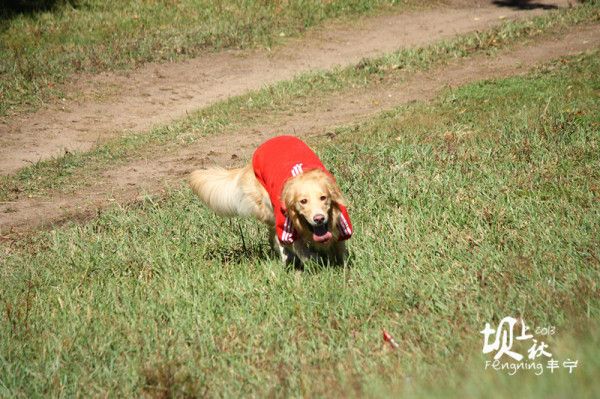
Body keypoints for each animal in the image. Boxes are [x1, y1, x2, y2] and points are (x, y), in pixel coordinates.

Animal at [190, 136, 352, 268]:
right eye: (303, 201)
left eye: (323, 198)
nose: (319, 218)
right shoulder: (286, 227)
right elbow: (302, 250)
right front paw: (315, 261)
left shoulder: (341, 225)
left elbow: (341, 250)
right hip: (268, 209)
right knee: (275, 237)